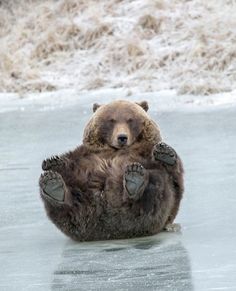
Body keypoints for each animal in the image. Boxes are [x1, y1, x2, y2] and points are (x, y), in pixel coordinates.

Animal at [39, 100, 184, 242]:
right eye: (111, 120)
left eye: (130, 119)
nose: (122, 137)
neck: (115, 149)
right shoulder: (86, 154)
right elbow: (71, 159)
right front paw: (53, 161)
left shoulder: (144, 152)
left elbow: (174, 177)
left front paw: (165, 153)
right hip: (80, 196)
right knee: (67, 199)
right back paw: (54, 186)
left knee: (155, 186)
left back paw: (135, 180)